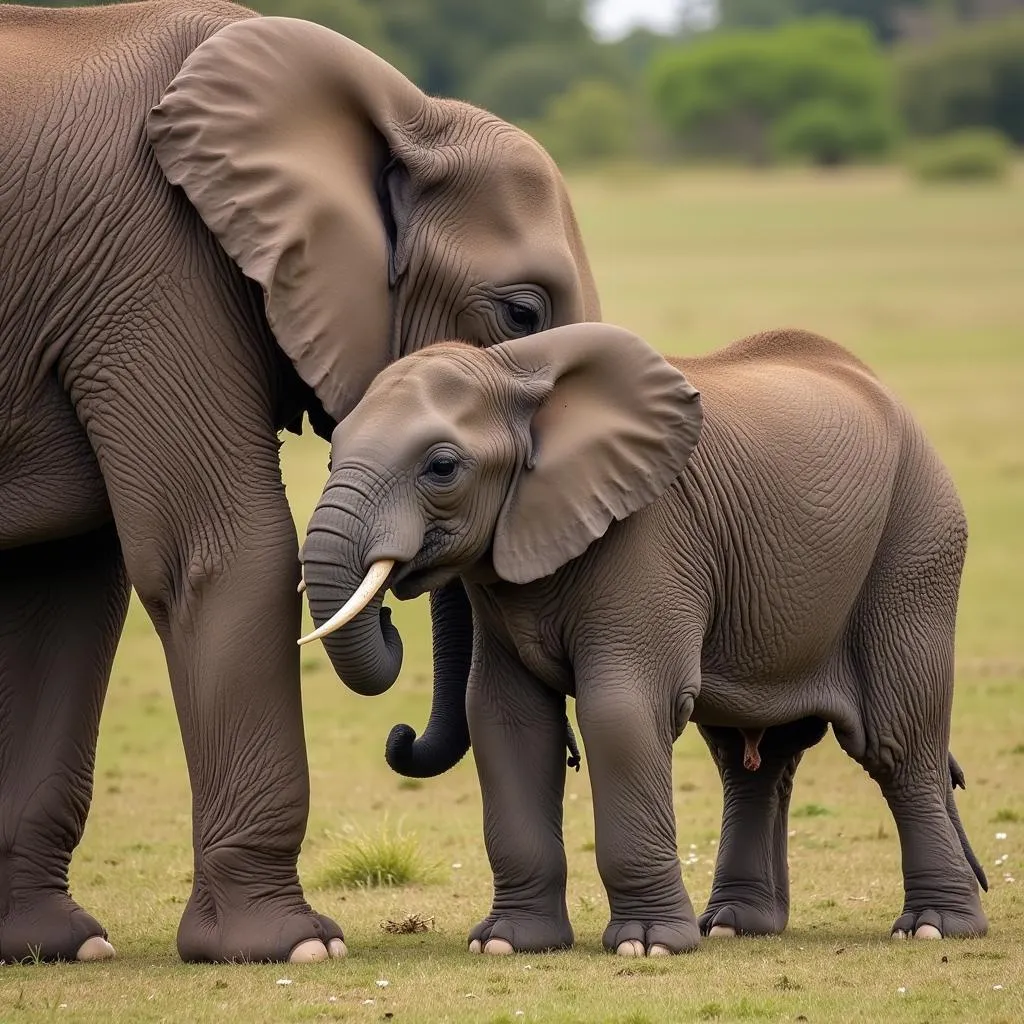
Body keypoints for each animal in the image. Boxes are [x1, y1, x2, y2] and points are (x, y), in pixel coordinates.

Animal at [0, 0, 598, 958]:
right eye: (521, 313)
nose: (400, 738)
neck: (403, 112)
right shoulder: (148, 260)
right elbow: (221, 552)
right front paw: (292, 945)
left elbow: (62, 591)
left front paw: (55, 946)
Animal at [299, 323, 987, 954]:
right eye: (329, 458)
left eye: (442, 467)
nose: (390, 619)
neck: (515, 371)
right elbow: (505, 719)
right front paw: (507, 943)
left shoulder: (647, 533)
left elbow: (621, 712)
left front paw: (648, 944)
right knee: (752, 758)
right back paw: (736, 926)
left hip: (916, 539)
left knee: (897, 744)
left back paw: (935, 928)